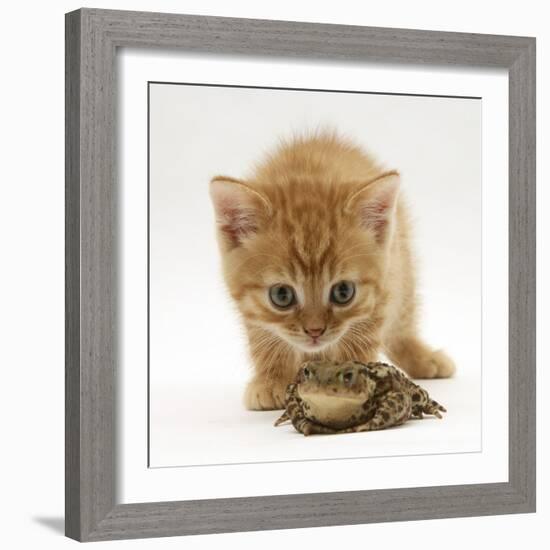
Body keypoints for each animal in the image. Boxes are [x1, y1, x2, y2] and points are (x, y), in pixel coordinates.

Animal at [209, 134, 454, 410]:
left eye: (343, 291)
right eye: (281, 295)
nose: (315, 331)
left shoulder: (382, 289)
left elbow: (361, 340)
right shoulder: (252, 311)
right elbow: (265, 339)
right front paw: (272, 380)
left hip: (402, 265)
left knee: (402, 323)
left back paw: (424, 358)